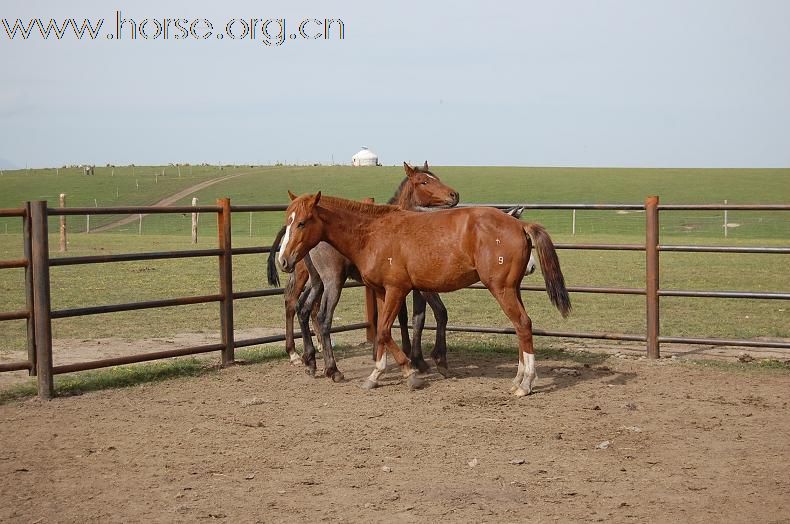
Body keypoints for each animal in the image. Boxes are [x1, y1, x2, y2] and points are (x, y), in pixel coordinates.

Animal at [270, 161, 460, 380]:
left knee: (304, 308)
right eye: (423, 181)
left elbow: (410, 318)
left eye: (436, 177)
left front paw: (406, 356)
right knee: (304, 308)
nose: (454, 195)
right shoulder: (413, 286)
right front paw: (423, 359)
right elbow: (428, 315)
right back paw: (321, 364)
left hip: (316, 281)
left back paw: (311, 360)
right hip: (329, 280)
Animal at [278, 194, 568, 396]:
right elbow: (383, 331)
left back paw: (525, 384)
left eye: (302, 222)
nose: (284, 260)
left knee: (523, 325)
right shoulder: (383, 291)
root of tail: (520, 226)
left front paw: (410, 372)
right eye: (288, 222)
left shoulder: (398, 290)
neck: (374, 233)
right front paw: (376, 375)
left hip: (502, 289)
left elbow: (389, 329)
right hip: (512, 289)